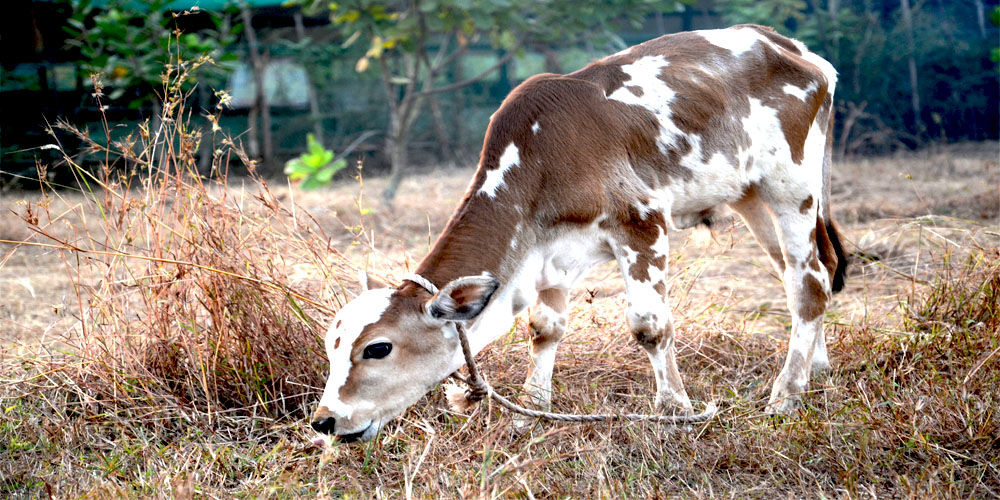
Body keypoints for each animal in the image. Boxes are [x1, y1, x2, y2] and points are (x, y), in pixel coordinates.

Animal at [310, 24, 848, 443]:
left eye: (378, 347)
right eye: (331, 345)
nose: (325, 421)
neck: (540, 157)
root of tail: (792, 47)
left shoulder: (641, 222)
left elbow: (651, 327)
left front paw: (674, 410)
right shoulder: (551, 257)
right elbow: (544, 329)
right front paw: (531, 411)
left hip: (792, 190)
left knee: (810, 284)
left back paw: (786, 394)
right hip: (749, 195)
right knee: (803, 272)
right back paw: (816, 366)